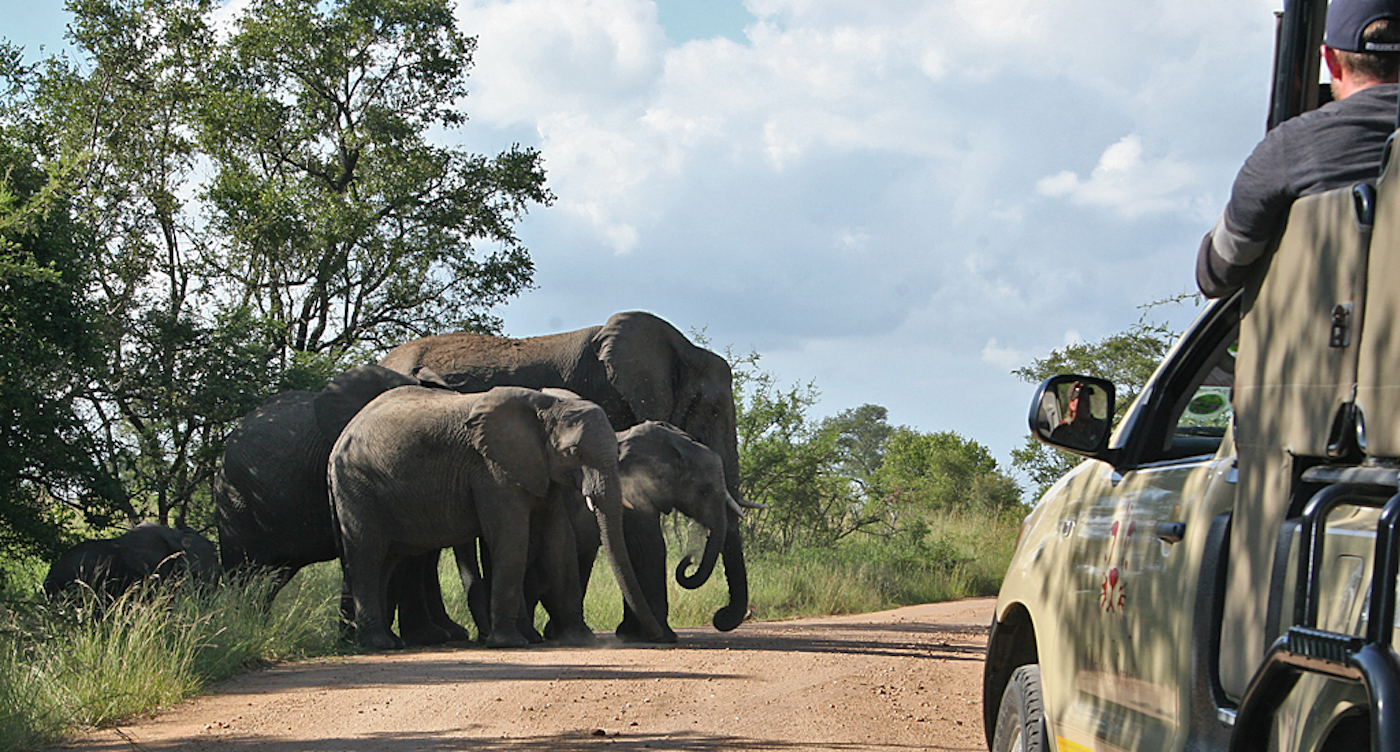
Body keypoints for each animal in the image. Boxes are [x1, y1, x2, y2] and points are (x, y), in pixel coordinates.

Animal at [212, 361, 464, 641]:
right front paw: (357, 638)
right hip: (234, 496)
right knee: (240, 572)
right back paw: (239, 627)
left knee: (273, 577)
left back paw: (257, 625)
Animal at [324, 383, 663, 646]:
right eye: (574, 453)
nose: (659, 637)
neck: (546, 404)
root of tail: (340, 439)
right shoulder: (492, 469)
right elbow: (511, 536)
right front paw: (510, 643)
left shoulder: (539, 468)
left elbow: (558, 539)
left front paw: (580, 639)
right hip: (357, 487)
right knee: (368, 555)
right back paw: (378, 644)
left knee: (387, 559)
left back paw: (389, 641)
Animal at [378, 308, 756, 635]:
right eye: (713, 410)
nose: (721, 617)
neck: (681, 348)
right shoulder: (609, 401)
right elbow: (633, 519)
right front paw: (649, 634)